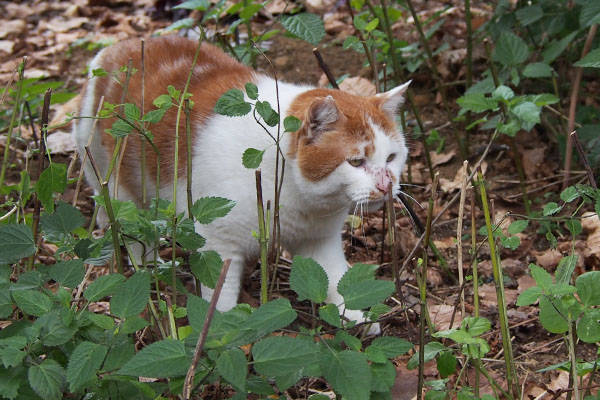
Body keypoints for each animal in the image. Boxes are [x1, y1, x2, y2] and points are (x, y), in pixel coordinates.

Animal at [72, 35, 410, 332]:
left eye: (392, 157)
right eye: (356, 162)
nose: (386, 184)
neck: (293, 192)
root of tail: (117, 47)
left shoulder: (319, 240)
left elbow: (336, 280)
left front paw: (355, 316)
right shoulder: (218, 245)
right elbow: (219, 301)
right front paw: (218, 333)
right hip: (112, 176)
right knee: (126, 225)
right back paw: (148, 263)